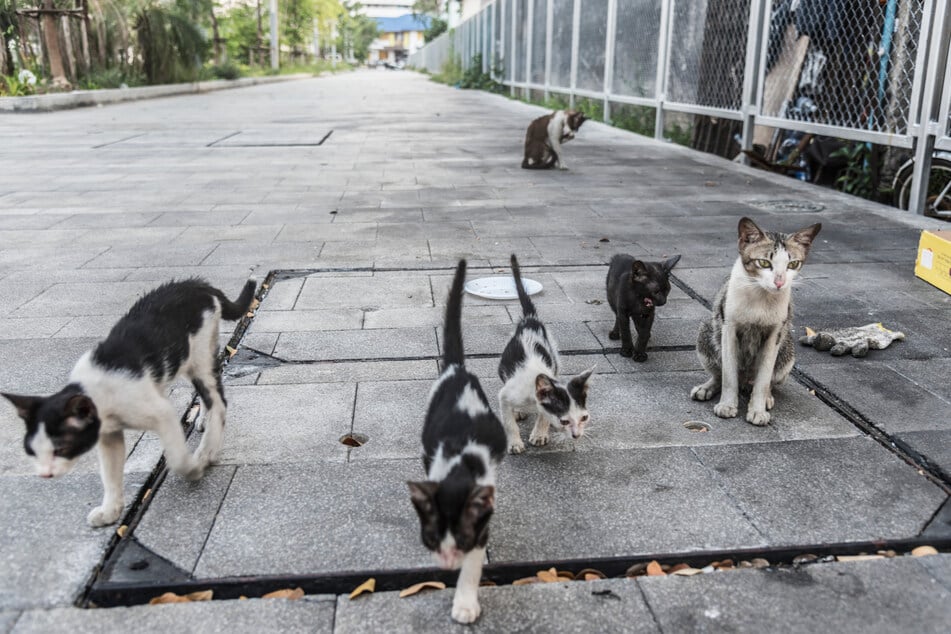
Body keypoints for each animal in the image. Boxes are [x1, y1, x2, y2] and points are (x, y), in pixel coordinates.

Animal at [1, 276, 255, 524]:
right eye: (32, 451)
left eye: (60, 448)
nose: (45, 474)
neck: (97, 391)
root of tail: (197, 283)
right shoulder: (109, 435)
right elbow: (110, 473)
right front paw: (110, 511)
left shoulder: (162, 413)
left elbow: (176, 457)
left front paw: (193, 469)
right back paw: (203, 419)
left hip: (199, 356)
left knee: (218, 402)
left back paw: (207, 450)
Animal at [410, 258, 512, 624]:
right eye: (431, 538)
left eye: (463, 539)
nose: (447, 563)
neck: (459, 466)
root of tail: (456, 369)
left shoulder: (482, 522)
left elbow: (475, 562)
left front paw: (465, 602)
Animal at [498, 254, 596, 452]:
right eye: (565, 421)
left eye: (584, 417)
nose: (577, 436)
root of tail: (530, 320)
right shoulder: (504, 395)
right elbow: (508, 421)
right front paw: (514, 443)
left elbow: (544, 414)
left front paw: (539, 434)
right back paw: (518, 412)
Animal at [688, 217, 820, 424]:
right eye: (764, 263)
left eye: (792, 264)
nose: (780, 282)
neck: (761, 297)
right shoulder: (729, 328)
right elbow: (728, 375)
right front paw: (727, 405)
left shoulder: (775, 333)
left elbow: (764, 377)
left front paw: (757, 409)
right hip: (707, 330)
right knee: (720, 372)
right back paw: (707, 387)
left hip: (787, 351)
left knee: (769, 380)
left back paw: (766, 397)